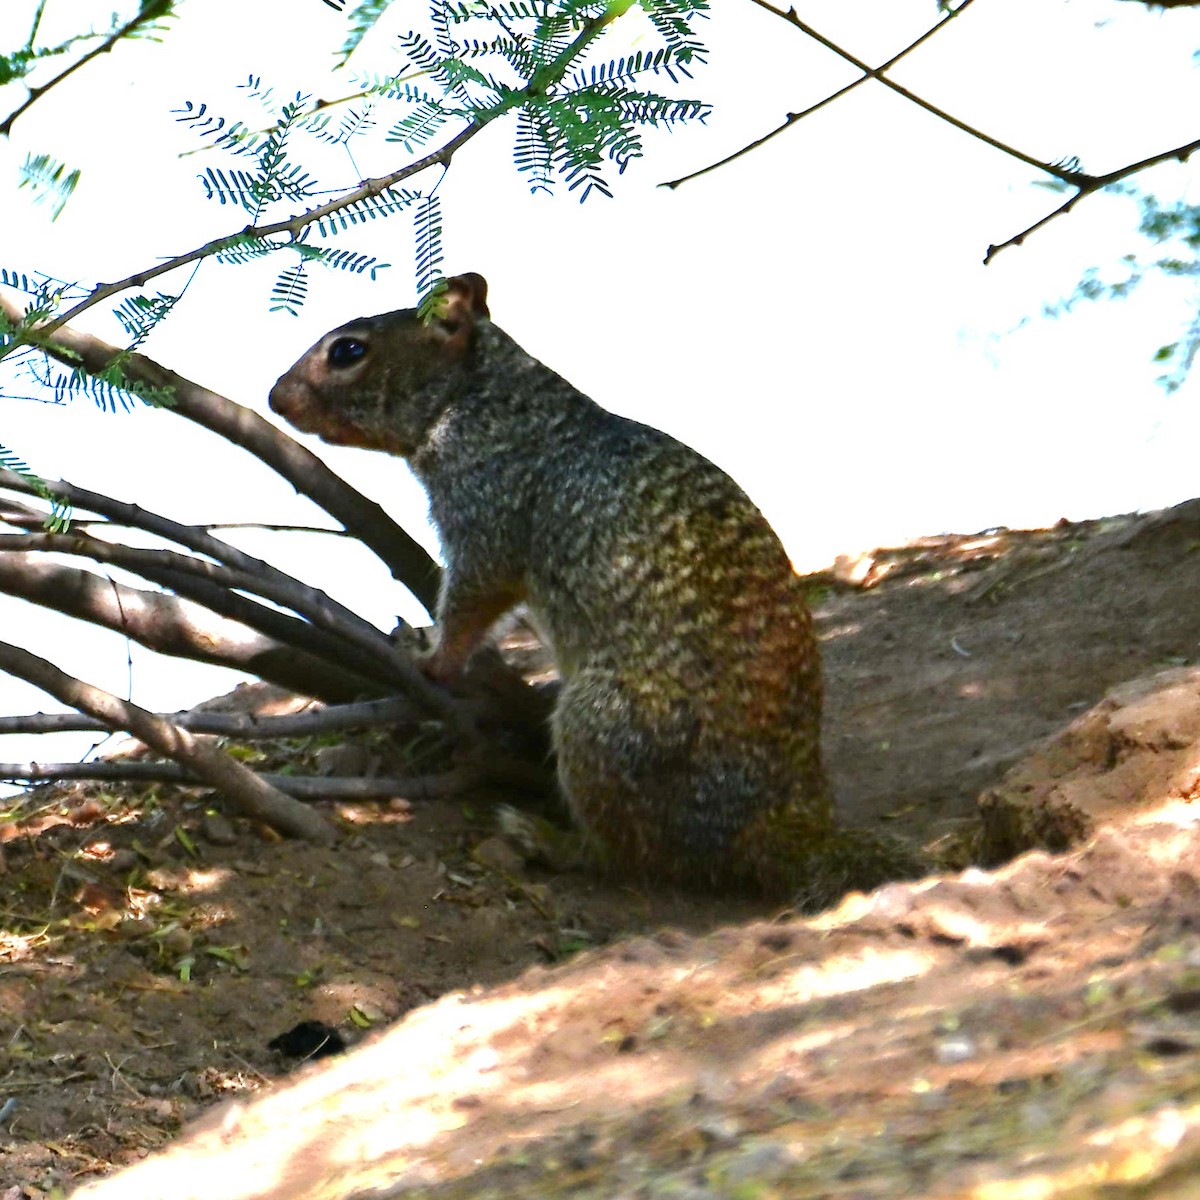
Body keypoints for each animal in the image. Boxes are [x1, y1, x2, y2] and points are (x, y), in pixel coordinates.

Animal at [270, 273, 915, 901]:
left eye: (349, 350)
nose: (274, 395)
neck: (485, 400)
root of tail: (794, 834)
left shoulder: (485, 513)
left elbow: (474, 598)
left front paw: (433, 659)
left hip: (596, 729)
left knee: (632, 858)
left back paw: (547, 839)